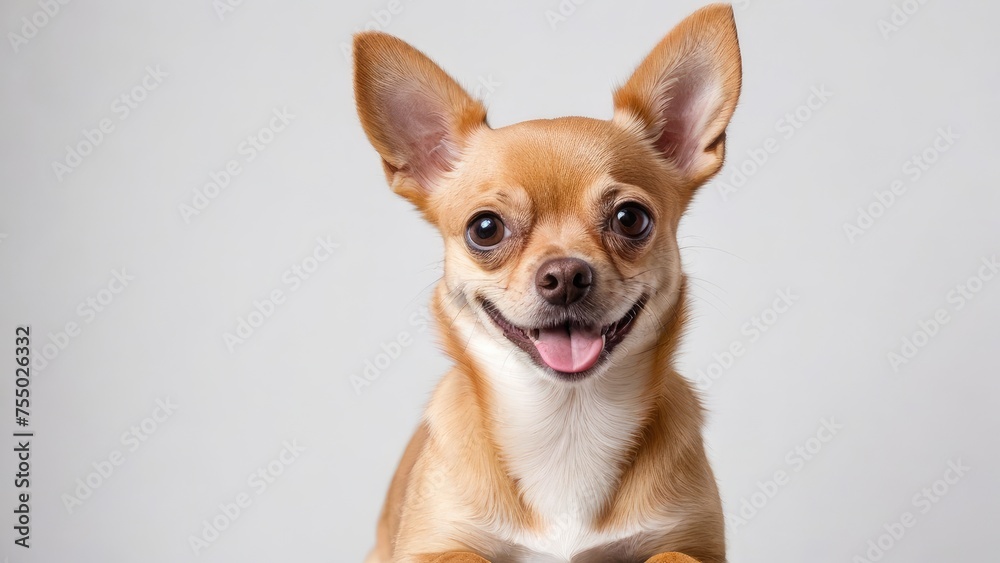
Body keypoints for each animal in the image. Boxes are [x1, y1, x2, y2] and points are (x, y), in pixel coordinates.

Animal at [356, 4, 740, 563]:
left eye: (631, 218)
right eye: (485, 228)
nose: (564, 276)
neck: (566, 424)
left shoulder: (694, 541)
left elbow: (673, 555)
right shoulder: (429, 546)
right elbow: (462, 555)